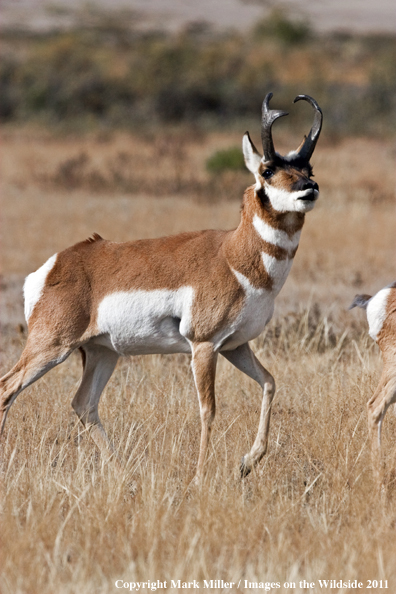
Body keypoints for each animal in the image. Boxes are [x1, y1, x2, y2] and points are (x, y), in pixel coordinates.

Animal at [0, 93, 322, 480]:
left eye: (309, 170)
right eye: (268, 170)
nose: (309, 189)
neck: (233, 255)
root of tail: (57, 264)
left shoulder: (235, 346)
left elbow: (270, 382)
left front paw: (247, 462)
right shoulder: (203, 345)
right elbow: (208, 410)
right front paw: (199, 476)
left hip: (102, 352)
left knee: (83, 403)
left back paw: (123, 473)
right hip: (51, 346)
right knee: (7, 389)